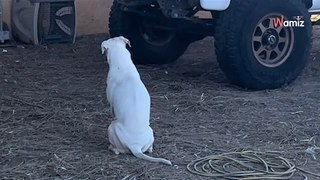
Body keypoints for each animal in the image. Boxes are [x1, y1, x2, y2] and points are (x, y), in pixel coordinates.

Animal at [101, 35, 172, 165]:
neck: (122, 64)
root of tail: (135, 146)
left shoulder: (111, 105)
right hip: (150, 131)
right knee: (149, 149)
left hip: (112, 128)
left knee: (117, 150)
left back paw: (111, 147)